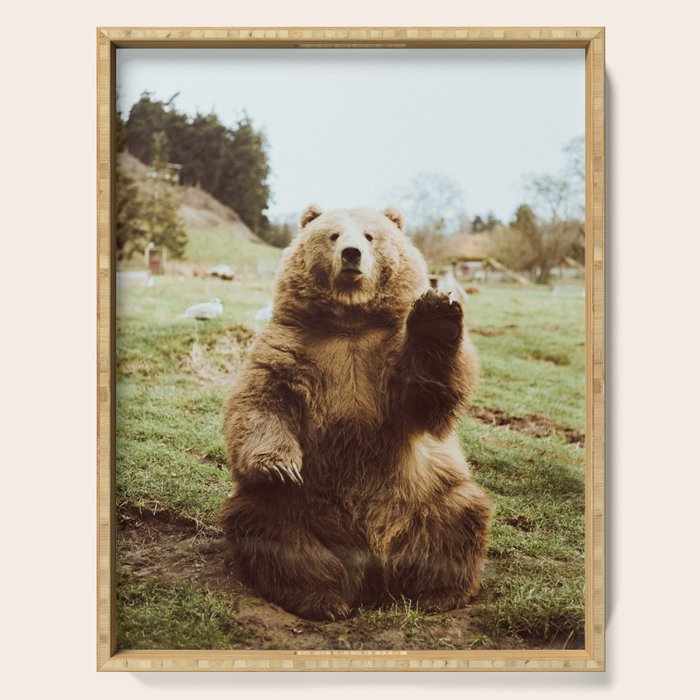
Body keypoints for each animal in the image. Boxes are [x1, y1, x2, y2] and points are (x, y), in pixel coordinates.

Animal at [221, 205, 493, 621]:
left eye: (369, 235)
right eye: (333, 235)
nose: (351, 254)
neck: (349, 322)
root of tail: (373, 570)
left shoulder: (385, 359)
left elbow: (428, 396)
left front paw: (436, 312)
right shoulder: (291, 348)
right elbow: (261, 401)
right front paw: (279, 466)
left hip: (425, 495)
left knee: (460, 516)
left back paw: (438, 594)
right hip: (301, 509)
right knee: (268, 527)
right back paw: (322, 598)